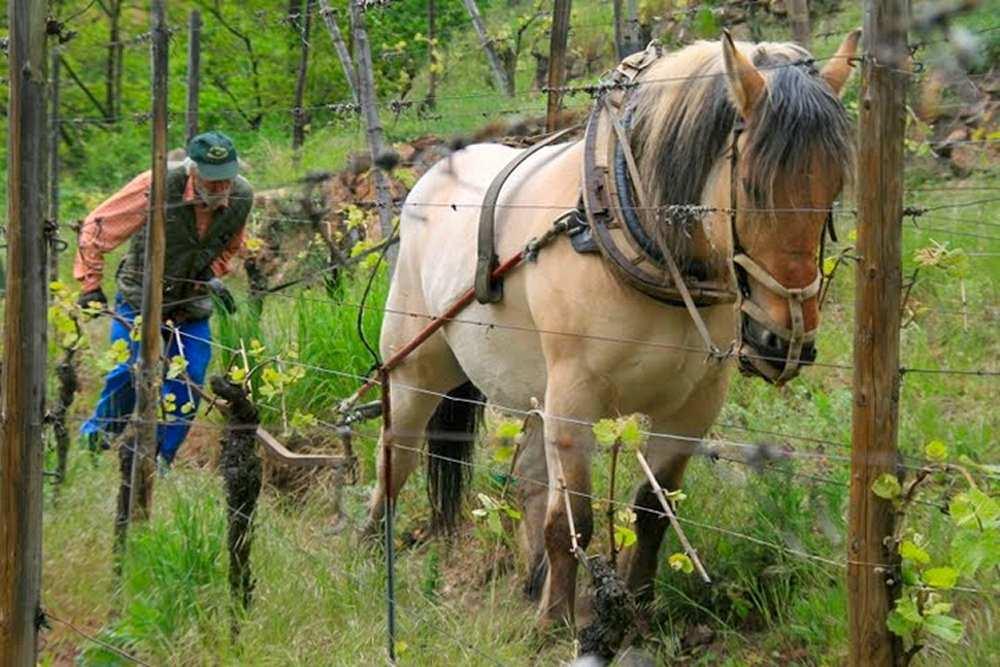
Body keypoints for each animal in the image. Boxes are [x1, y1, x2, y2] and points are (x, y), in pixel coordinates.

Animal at [360, 28, 860, 628]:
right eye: (754, 186)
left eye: (834, 187)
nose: (784, 345)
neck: (630, 225)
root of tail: (432, 175)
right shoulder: (575, 399)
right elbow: (572, 520)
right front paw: (555, 624)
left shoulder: (693, 407)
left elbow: (651, 511)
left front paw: (638, 607)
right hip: (416, 367)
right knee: (396, 456)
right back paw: (372, 549)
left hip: (533, 388)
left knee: (528, 479)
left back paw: (531, 578)